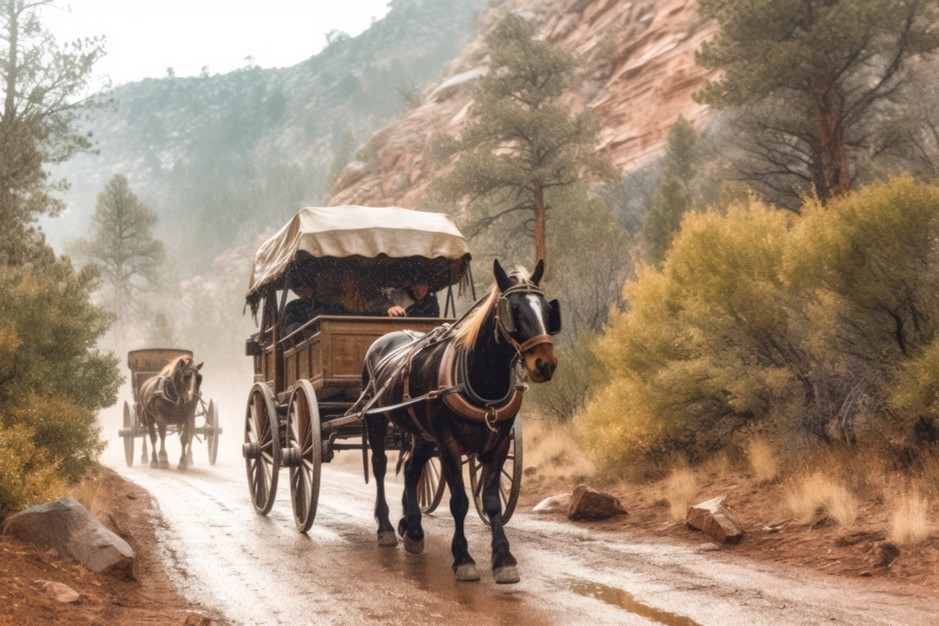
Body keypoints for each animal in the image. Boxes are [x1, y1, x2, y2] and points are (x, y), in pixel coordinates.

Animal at [360, 258, 560, 580]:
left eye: (546, 309)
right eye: (513, 309)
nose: (545, 364)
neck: (481, 378)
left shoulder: (499, 444)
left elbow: (491, 502)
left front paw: (503, 558)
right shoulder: (448, 443)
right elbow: (459, 501)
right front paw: (463, 558)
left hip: (422, 436)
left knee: (412, 470)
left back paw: (413, 529)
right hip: (377, 421)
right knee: (379, 468)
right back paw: (387, 527)